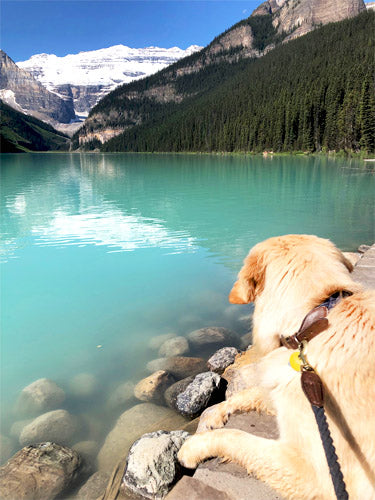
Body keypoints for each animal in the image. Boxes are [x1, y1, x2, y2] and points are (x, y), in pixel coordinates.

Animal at [178, 235, 374, 500]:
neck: (313, 319)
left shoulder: (314, 474)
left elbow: (237, 437)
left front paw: (193, 447)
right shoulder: (297, 388)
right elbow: (251, 393)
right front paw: (215, 412)